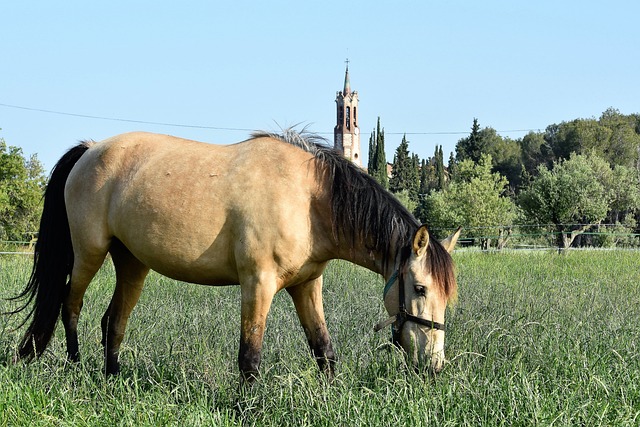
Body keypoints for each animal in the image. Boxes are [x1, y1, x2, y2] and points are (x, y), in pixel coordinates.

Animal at [11, 130, 460, 382]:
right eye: (420, 288)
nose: (434, 365)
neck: (308, 199)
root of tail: (89, 149)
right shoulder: (257, 283)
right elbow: (250, 358)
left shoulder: (305, 285)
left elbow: (324, 350)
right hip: (89, 253)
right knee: (71, 306)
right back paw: (75, 369)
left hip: (132, 264)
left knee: (112, 323)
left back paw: (112, 379)